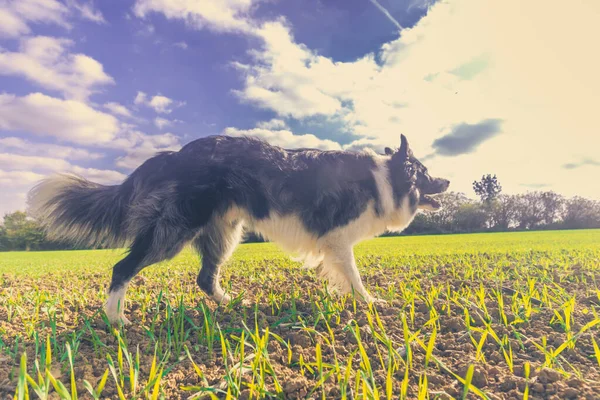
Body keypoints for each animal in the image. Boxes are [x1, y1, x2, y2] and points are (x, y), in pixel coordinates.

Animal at [29, 134, 450, 324]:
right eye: (427, 173)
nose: (447, 181)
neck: (386, 178)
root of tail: (174, 155)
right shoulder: (338, 238)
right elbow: (356, 278)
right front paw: (372, 304)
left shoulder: (334, 242)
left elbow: (345, 277)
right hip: (173, 231)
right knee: (123, 267)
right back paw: (116, 319)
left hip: (225, 233)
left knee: (204, 277)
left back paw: (233, 304)